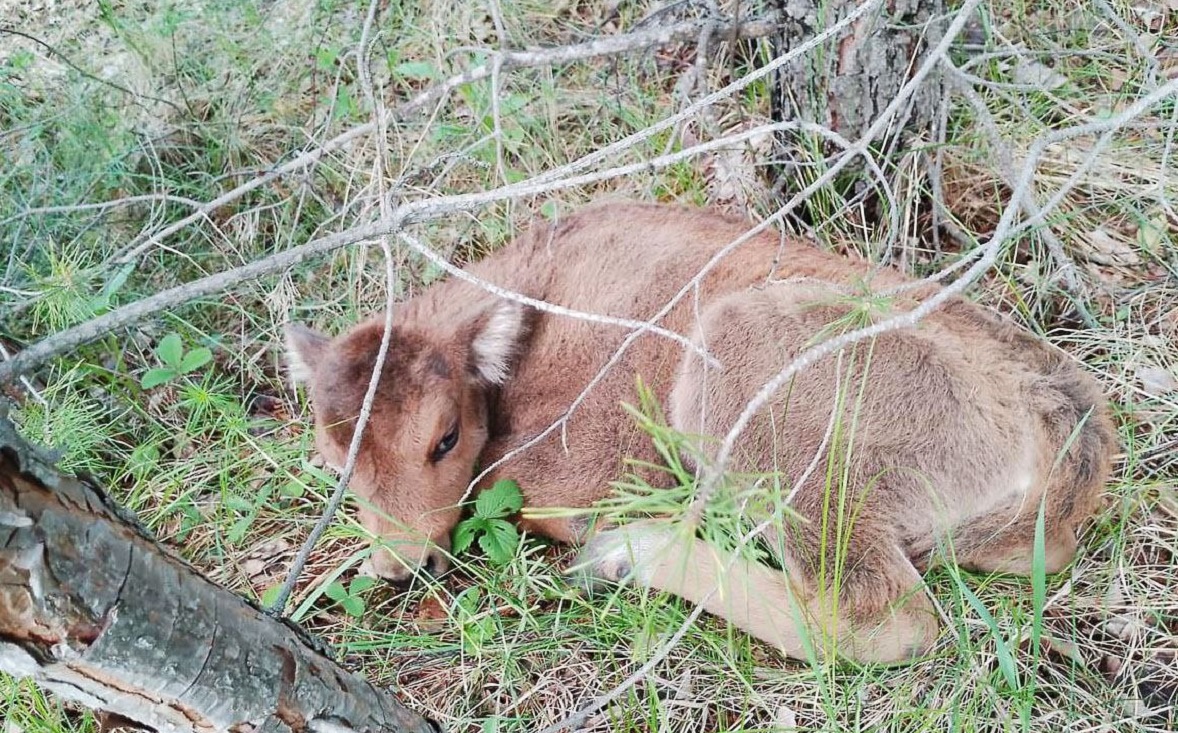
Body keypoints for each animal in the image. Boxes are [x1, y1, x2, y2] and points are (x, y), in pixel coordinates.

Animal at [285, 202, 1112, 664]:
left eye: (445, 438)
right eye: (334, 462)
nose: (399, 566)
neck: (540, 307)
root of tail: (1066, 423)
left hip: (751, 391)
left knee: (876, 615)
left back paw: (621, 554)